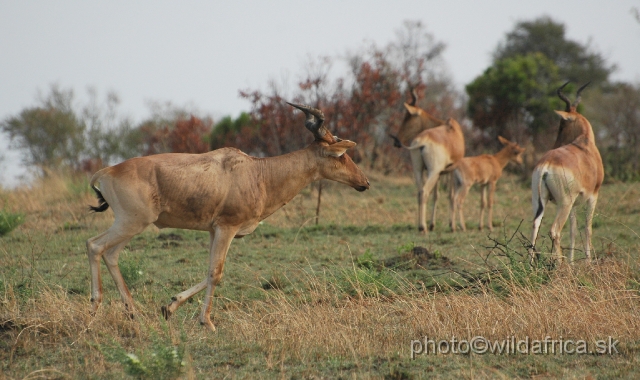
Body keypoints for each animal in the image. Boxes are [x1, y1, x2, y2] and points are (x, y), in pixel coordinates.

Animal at [87, 103, 368, 330]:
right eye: (341, 154)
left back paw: (132, 313)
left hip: (132, 225)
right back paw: (94, 308)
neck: (257, 172)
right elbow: (216, 272)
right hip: (131, 222)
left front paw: (169, 307)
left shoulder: (214, 230)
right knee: (95, 245)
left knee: (111, 254)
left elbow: (210, 269)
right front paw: (207, 322)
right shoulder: (227, 227)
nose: (364, 183)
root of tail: (107, 171)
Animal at [390, 90, 464, 233]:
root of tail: (423, 141)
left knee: (420, 192)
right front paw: (452, 226)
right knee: (424, 192)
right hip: (433, 171)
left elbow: (436, 195)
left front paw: (433, 224)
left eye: (408, 117)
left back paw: (421, 226)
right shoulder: (452, 169)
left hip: (420, 171)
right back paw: (422, 227)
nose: (396, 141)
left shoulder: (440, 173)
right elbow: (451, 196)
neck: (450, 127)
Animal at [532, 81, 604, 262]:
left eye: (562, 125)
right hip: (564, 203)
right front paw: (588, 261)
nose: (556, 144)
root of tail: (547, 163)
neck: (584, 143)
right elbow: (587, 228)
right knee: (554, 231)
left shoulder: (575, 203)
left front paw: (572, 261)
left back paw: (531, 263)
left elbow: (572, 230)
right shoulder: (593, 196)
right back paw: (561, 265)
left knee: (535, 224)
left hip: (539, 200)